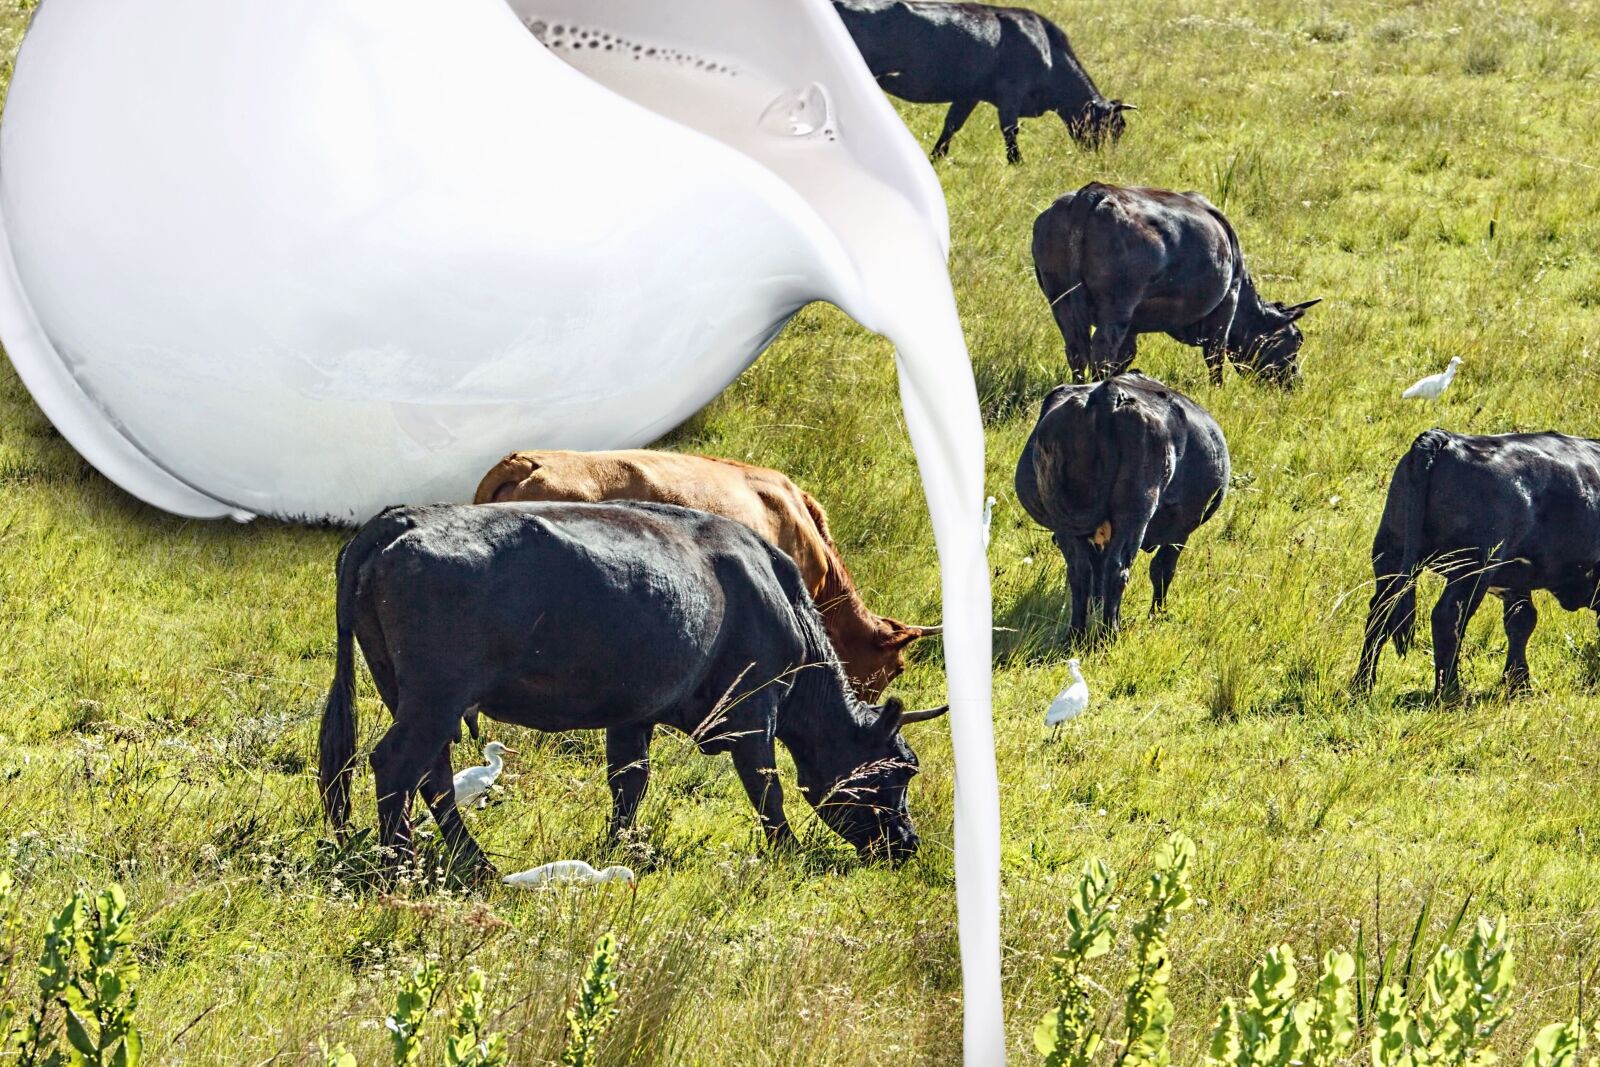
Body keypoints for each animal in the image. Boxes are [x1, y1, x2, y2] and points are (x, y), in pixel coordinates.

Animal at [318, 502, 947, 873]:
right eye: (901, 771)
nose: (908, 843)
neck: (778, 595)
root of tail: (404, 518)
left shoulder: (632, 713)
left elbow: (628, 783)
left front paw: (622, 846)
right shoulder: (753, 712)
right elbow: (765, 788)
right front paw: (787, 853)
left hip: (411, 694)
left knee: (434, 776)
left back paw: (473, 864)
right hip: (435, 697)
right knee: (397, 765)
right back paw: (401, 863)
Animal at [831, 0, 1133, 163]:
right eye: (1113, 127)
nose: (1105, 159)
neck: (1048, 50)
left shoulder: (969, 94)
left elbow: (951, 126)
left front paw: (935, 158)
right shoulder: (1011, 92)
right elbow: (1010, 130)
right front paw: (1017, 163)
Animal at [1015, 374, 1229, 640]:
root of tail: (1108, 394)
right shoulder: (1180, 530)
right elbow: (1162, 570)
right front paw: (1157, 614)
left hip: (1064, 519)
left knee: (1080, 571)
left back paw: (1076, 634)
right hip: (1135, 514)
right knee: (1118, 569)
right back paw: (1110, 634)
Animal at [1032, 182, 1320, 386]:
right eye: (1297, 339)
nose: (1295, 382)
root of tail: (1093, 192)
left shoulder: (1133, 325)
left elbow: (1127, 354)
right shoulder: (1228, 299)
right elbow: (1215, 354)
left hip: (1059, 299)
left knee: (1077, 349)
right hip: (1117, 305)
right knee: (1101, 349)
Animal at [1355, 429, 1600, 700]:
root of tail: (1445, 438)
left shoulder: (1516, 582)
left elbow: (1521, 621)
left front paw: (1518, 684)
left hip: (1391, 554)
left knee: (1380, 614)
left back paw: (1361, 686)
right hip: (1472, 568)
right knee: (1447, 618)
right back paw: (1449, 692)